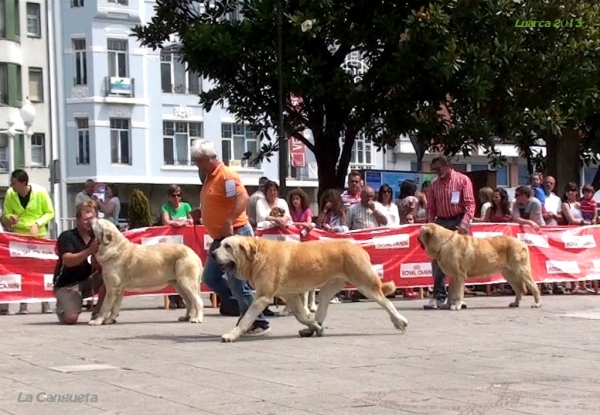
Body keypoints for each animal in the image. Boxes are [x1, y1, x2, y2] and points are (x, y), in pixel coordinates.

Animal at [211, 236, 408, 342]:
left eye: (227, 246)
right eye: (220, 245)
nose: (212, 254)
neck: (257, 255)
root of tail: (359, 247)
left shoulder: (262, 298)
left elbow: (245, 319)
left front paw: (231, 335)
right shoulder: (290, 296)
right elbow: (302, 316)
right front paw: (313, 326)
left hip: (365, 284)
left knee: (386, 301)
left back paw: (399, 321)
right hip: (329, 288)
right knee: (321, 310)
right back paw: (314, 329)